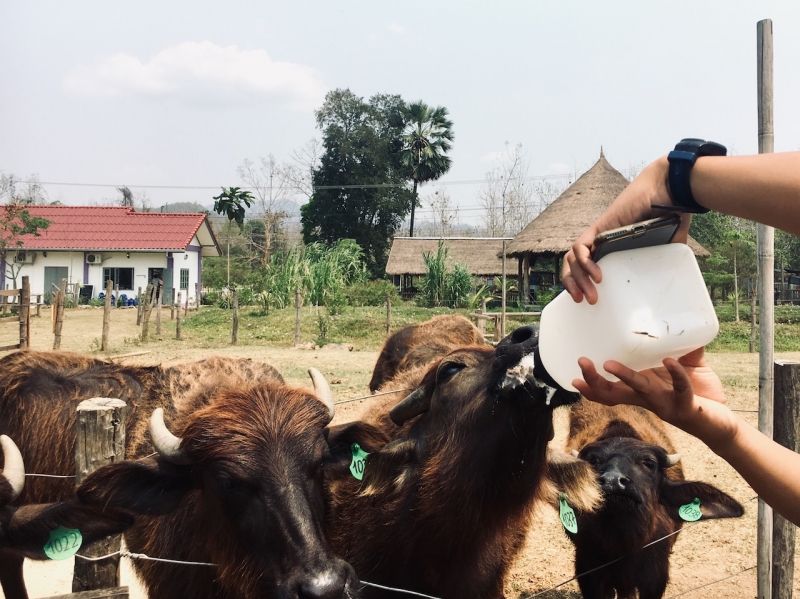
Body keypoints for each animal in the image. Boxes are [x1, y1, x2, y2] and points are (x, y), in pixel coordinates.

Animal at [564, 398, 744, 599]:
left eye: (649, 463)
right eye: (593, 461)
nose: (612, 481)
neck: (623, 544)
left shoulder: (655, 577)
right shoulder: (588, 572)